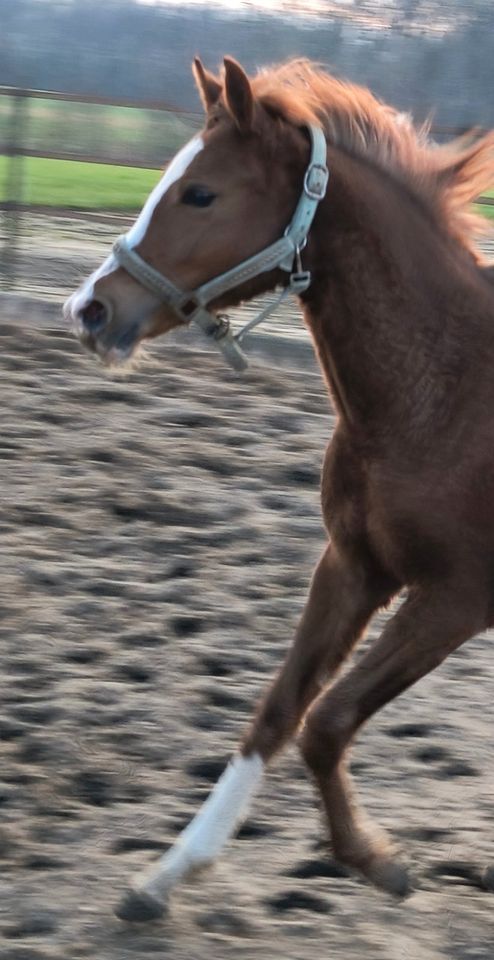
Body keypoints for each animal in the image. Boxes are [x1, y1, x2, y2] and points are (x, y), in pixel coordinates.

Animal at [66, 54, 494, 924]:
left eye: (201, 193)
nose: (90, 310)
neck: (446, 396)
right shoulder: (354, 566)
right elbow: (277, 710)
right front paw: (165, 874)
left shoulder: (457, 596)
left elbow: (326, 720)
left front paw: (378, 862)